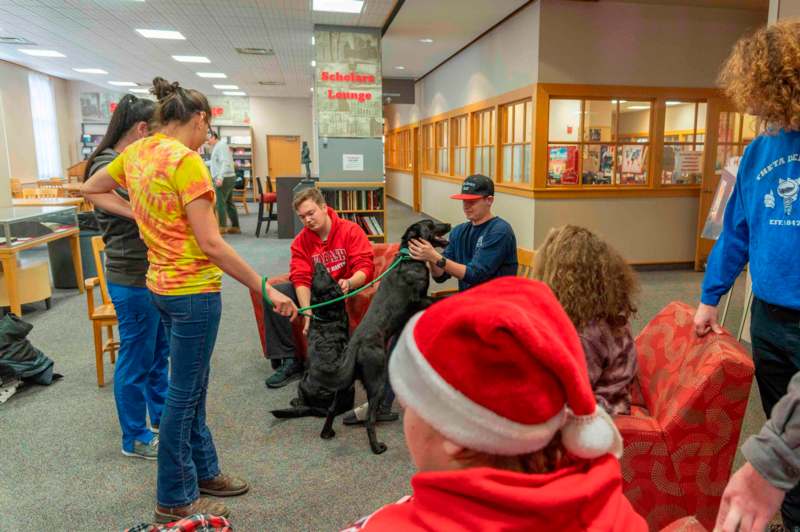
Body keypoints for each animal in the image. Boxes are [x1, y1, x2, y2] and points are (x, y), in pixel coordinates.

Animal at [272, 262, 354, 420]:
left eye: (322, 273)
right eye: (330, 277)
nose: (318, 263)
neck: (329, 315)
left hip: (303, 382)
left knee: (302, 401)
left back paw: (296, 402)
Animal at [314, 218, 450, 456]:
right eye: (432, 224)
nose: (450, 224)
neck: (409, 257)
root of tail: (356, 345)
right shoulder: (418, 299)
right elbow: (433, 300)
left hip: (344, 383)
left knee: (331, 408)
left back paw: (327, 433)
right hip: (376, 380)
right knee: (369, 420)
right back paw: (377, 447)